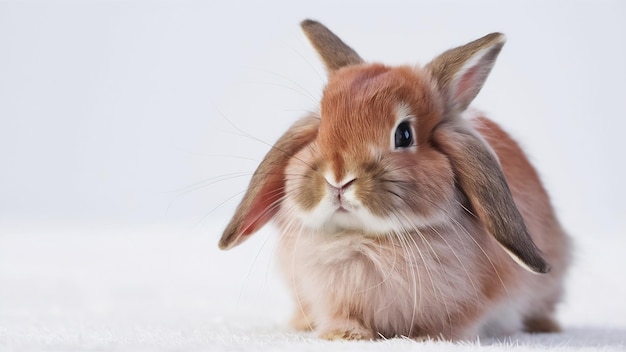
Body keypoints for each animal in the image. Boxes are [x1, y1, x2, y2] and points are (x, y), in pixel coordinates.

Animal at [217, 20, 568, 340]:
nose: (339, 178)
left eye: (404, 134)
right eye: (320, 129)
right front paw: (343, 335)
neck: (365, 240)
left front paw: (429, 338)